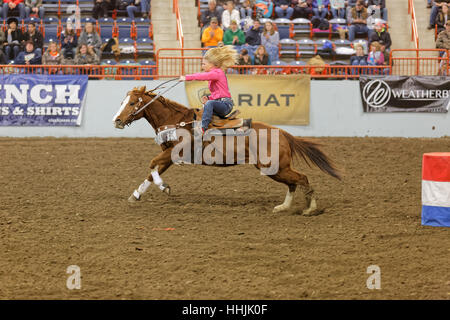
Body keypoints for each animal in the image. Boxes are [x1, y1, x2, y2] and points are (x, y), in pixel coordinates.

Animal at [114, 86, 340, 215]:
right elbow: (152, 171)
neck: (176, 121)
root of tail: (283, 133)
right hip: (275, 168)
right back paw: (283, 207)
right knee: (293, 183)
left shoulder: (173, 153)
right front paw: (136, 195)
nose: (117, 120)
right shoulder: (168, 156)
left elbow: (152, 164)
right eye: (122, 101)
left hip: (275, 167)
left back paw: (310, 209)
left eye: (132, 102)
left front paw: (165, 187)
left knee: (301, 178)